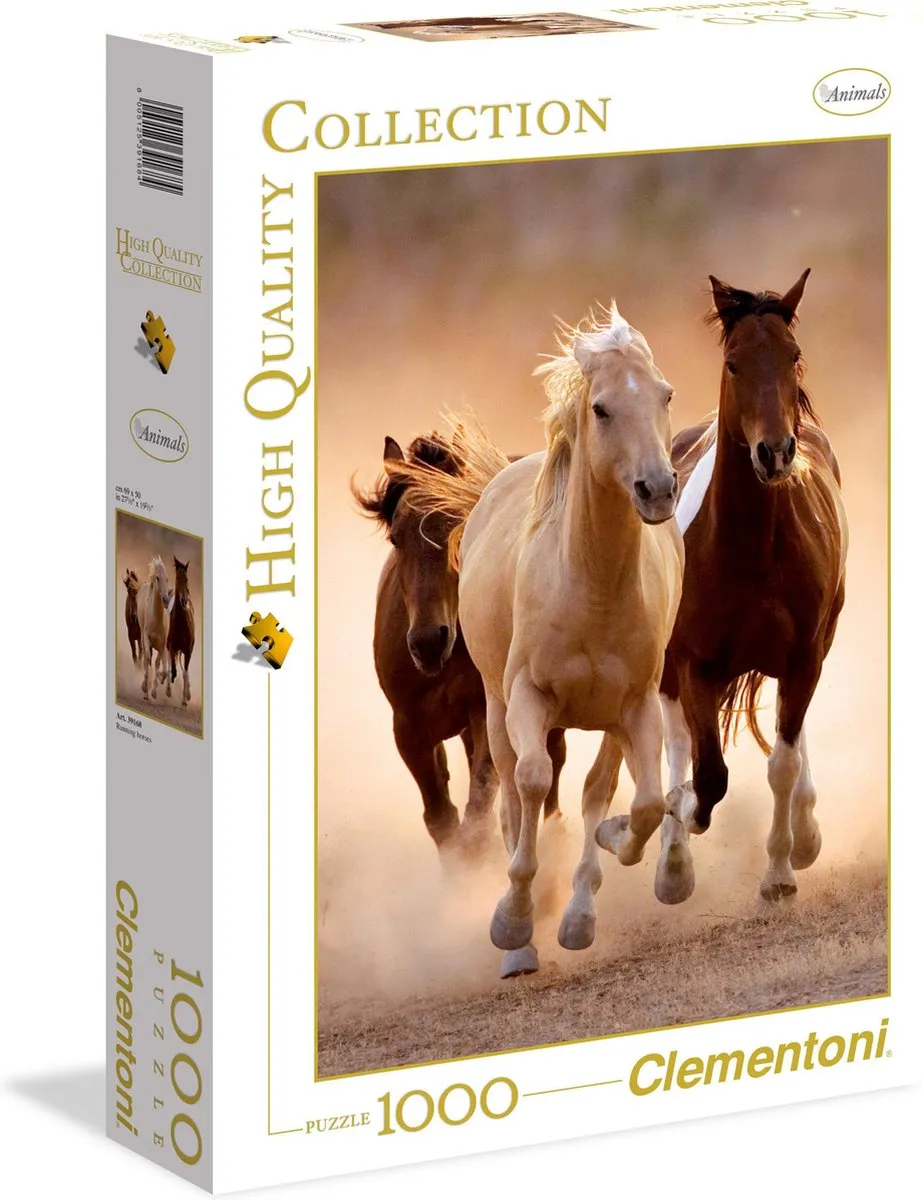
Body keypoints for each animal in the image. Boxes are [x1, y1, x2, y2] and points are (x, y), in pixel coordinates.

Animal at [353, 431, 568, 857]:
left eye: (460, 526)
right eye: (395, 537)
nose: (428, 642)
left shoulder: (485, 711)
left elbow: (478, 807)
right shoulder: (409, 729)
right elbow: (442, 818)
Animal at [409, 303, 683, 976]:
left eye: (664, 395)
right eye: (602, 408)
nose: (658, 490)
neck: (590, 586)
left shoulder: (636, 706)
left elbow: (638, 803)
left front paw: (607, 859)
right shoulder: (527, 699)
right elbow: (531, 785)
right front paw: (512, 922)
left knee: (596, 791)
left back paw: (579, 912)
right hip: (495, 707)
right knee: (512, 792)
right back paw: (523, 939)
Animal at [654, 270, 848, 907]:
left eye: (793, 356)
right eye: (734, 363)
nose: (775, 452)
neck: (752, 548)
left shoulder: (804, 655)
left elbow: (781, 763)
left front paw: (781, 871)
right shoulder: (693, 661)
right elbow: (708, 773)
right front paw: (681, 823)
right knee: (676, 742)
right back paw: (672, 862)